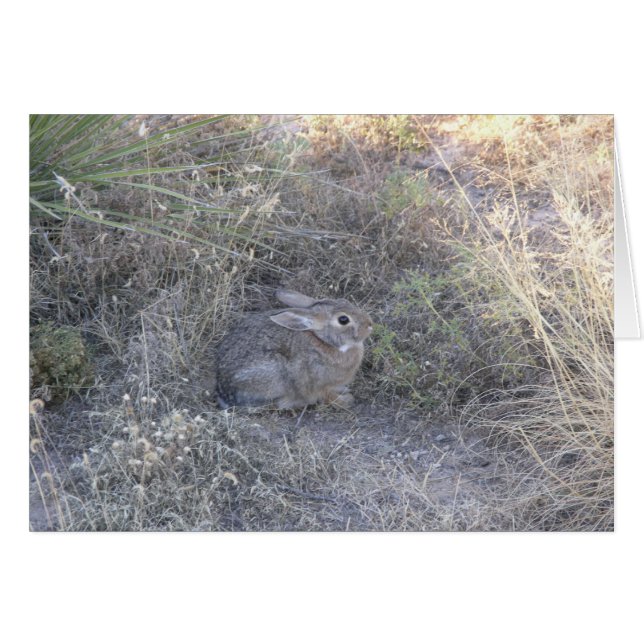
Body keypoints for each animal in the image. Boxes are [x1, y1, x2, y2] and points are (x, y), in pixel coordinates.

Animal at [214, 289, 373, 410]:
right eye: (343, 320)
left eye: (344, 300)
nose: (370, 325)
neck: (324, 341)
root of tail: (223, 390)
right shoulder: (319, 384)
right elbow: (328, 396)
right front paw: (346, 401)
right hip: (275, 375)